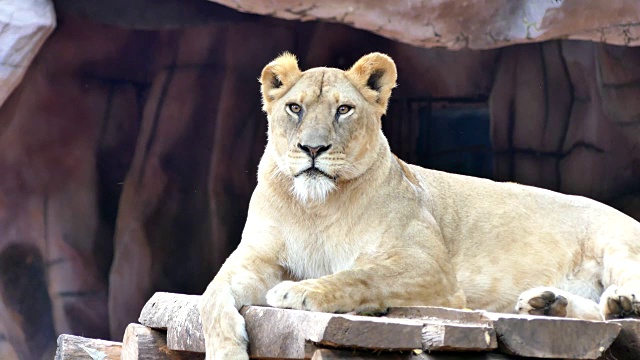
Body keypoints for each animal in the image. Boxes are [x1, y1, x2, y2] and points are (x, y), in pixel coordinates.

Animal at [199, 52, 640, 358]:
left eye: (343, 109)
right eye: (295, 108)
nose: (312, 148)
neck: (314, 207)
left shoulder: (431, 269)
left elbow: (359, 276)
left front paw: (298, 291)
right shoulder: (256, 258)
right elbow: (211, 296)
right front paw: (226, 350)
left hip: (616, 242)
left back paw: (620, 302)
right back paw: (546, 304)